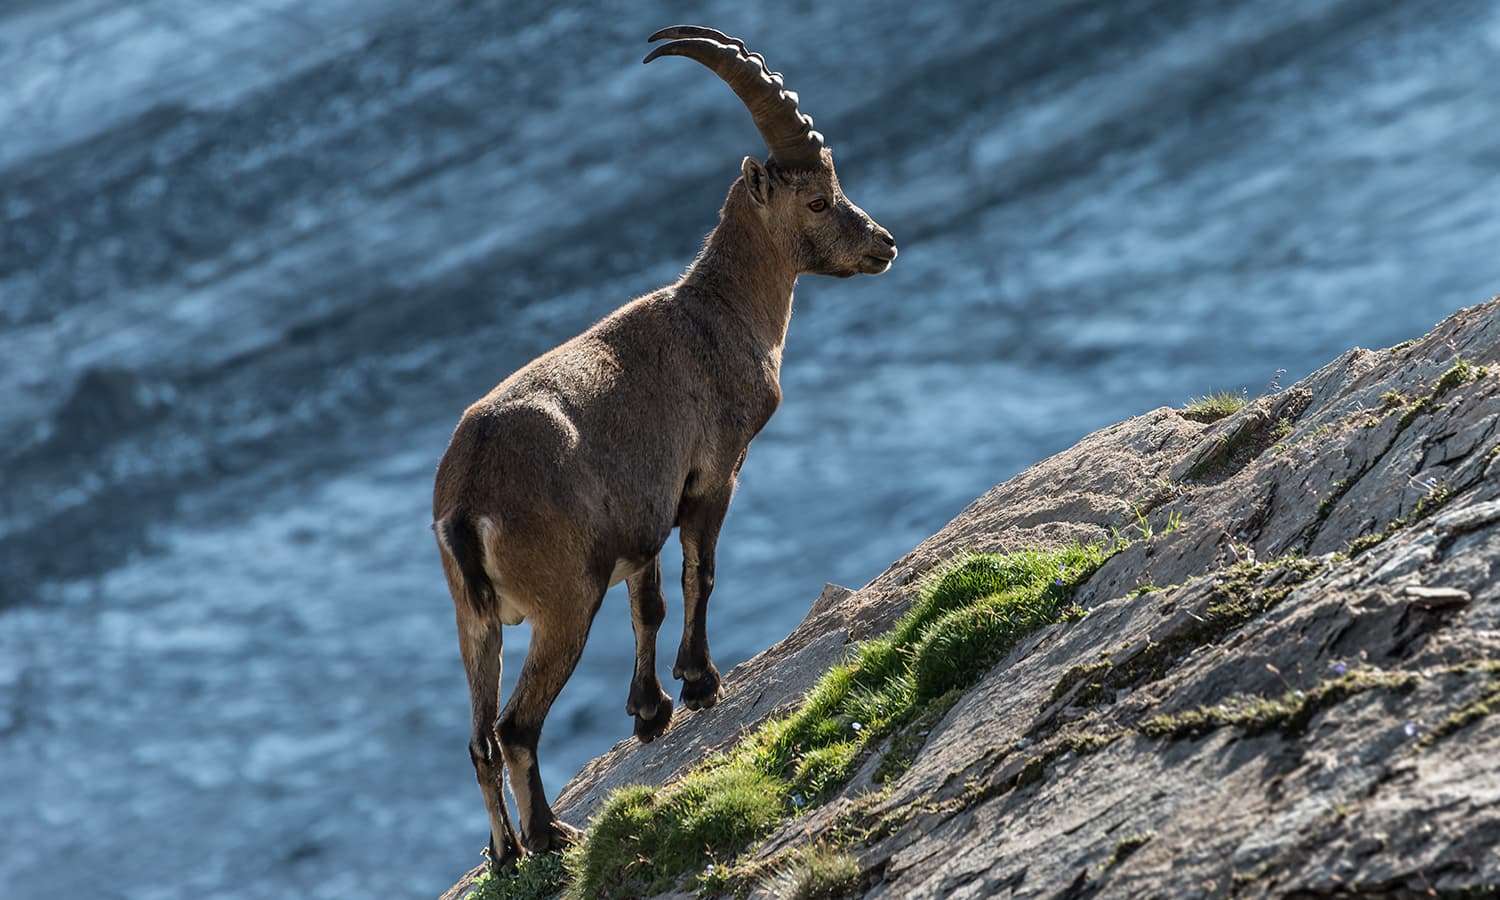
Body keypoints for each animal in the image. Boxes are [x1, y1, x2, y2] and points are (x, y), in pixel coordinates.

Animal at [438, 26, 894, 864]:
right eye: (818, 198)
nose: (883, 243)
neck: (716, 311)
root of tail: (465, 500)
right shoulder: (712, 475)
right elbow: (698, 575)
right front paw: (701, 682)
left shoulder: (640, 514)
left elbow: (645, 604)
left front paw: (649, 711)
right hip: (562, 602)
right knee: (516, 728)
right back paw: (551, 834)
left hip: (472, 624)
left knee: (480, 739)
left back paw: (507, 852)